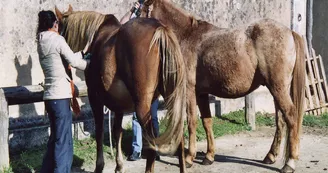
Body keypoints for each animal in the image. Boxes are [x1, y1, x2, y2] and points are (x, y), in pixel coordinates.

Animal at [54, 5, 186, 173]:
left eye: (59, 31)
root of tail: (160, 30)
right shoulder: (118, 105)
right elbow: (117, 131)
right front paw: (119, 166)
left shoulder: (94, 97)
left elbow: (99, 130)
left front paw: (100, 166)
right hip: (171, 99)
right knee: (179, 138)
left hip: (143, 106)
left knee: (152, 141)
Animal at [140, 0, 304, 172]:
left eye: (139, 9)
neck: (187, 36)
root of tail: (290, 32)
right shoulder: (201, 94)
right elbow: (207, 122)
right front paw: (209, 156)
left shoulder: (189, 91)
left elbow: (192, 122)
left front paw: (189, 158)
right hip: (277, 89)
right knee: (280, 120)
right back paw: (270, 156)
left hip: (278, 88)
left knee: (291, 116)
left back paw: (290, 162)